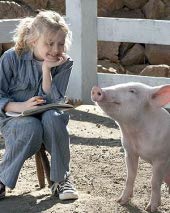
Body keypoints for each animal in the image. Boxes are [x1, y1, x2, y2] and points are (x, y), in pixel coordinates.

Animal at [91, 81, 170, 211]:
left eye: (132, 91)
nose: (96, 89)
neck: (133, 132)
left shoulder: (161, 157)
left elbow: (154, 181)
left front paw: (150, 209)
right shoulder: (129, 151)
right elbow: (130, 175)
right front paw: (120, 201)